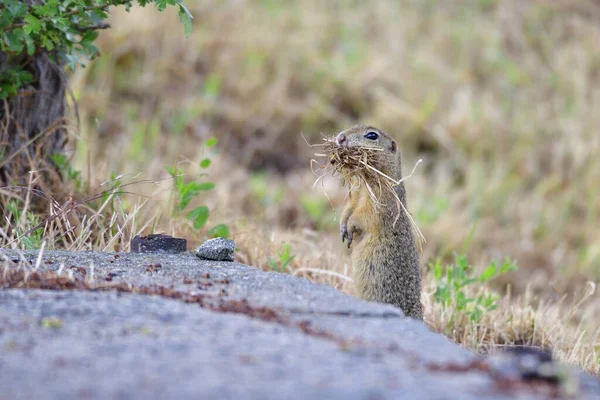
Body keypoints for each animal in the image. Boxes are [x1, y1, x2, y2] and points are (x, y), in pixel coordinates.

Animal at [336, 125, 424, 318]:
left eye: (371, 135)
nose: (340, 137)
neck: (366, 183)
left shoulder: (381, 202)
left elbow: (363, 216)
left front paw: (350, 227)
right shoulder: (356, 194)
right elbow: (348, 209)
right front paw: (342, 227)